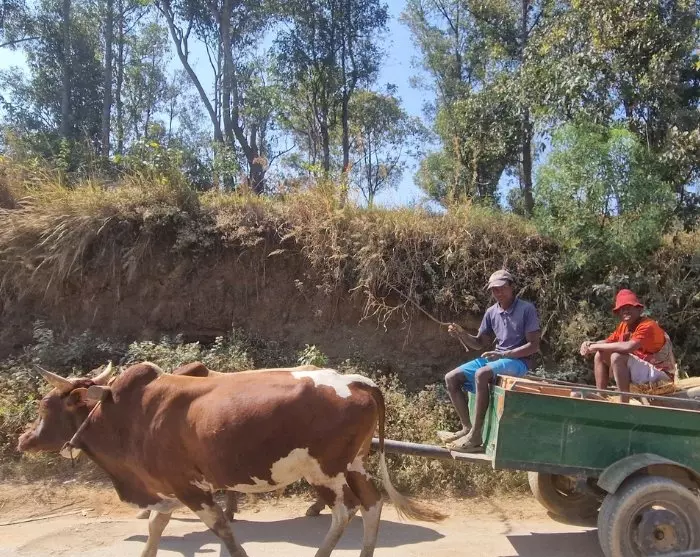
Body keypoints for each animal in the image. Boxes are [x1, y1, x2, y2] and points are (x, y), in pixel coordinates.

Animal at [18, 362, 444, 557]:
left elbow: (222, 529)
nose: (23, 439)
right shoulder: (167, 488)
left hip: (324, 471)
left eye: (44, 405)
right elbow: (157, 527)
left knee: (345, 511)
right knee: (370, 504)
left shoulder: (188, 486)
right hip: (351, 464)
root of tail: (355, 380)